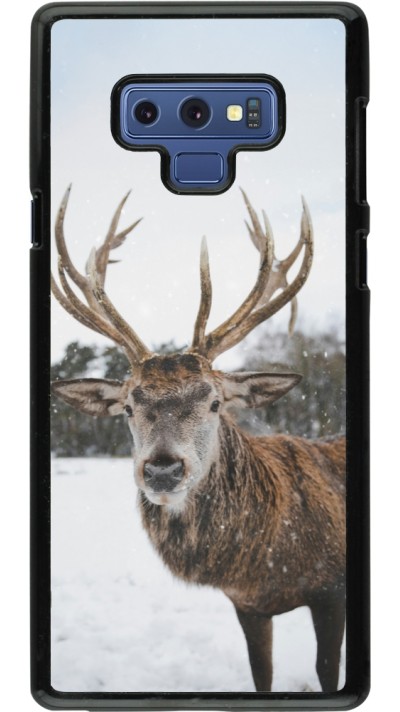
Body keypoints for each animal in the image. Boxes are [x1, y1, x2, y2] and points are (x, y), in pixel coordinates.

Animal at [51, 186, 346, 693]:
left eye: (214, 401)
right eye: (128, 407)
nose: (162, 469)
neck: (266, 565)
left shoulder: (333, 589)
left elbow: (328, 671)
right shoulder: (247, 605)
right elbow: (261, 674)